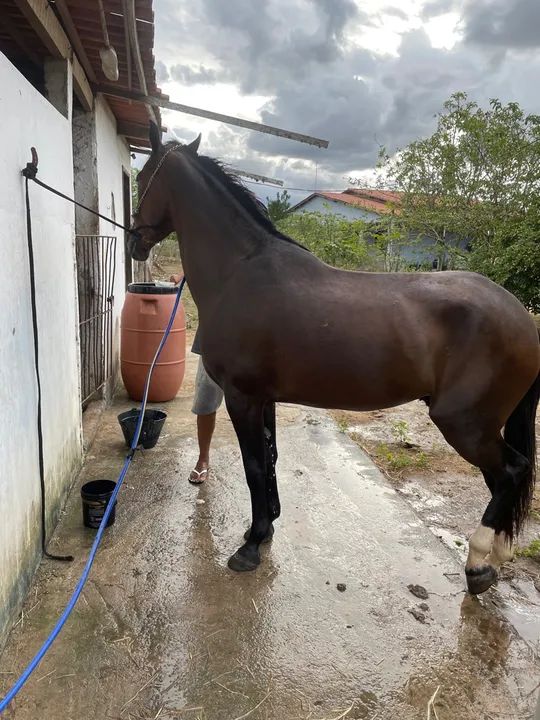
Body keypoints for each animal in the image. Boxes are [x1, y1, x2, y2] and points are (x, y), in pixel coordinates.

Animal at [129, 122, 540, 595]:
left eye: (143, 180)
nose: (135, 242)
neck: (240, 271)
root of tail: (523, 318)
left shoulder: (242, 397)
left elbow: (254, 465)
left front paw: (251, 546)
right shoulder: (264, 398)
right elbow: (270, 458)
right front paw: (266, 528)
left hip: (465, 425)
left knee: (511, 472)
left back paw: (477, 566)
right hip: (482, 427)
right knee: (505, 478)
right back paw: (498, 557)